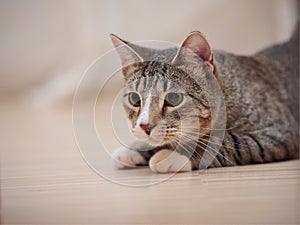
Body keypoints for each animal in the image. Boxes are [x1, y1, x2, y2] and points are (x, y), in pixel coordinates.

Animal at [110, 26, 300, 173]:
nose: (144, 126)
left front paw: (177, 153)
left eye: (173, 98)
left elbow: (228, 141)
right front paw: (135, 149)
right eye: (135, 98)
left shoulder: (281, 131)